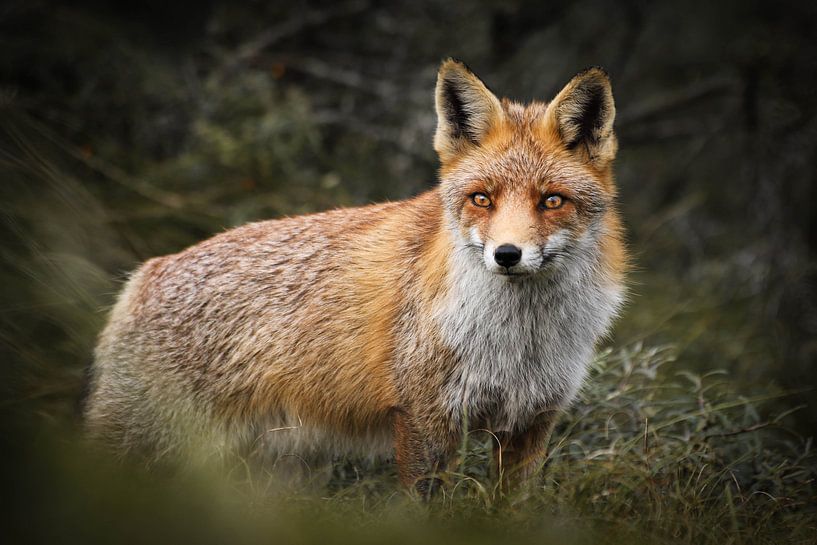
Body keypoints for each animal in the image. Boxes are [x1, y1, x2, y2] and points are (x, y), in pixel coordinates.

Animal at [84, 59, 627, 492]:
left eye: (551, 200)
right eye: (481, 199)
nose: (507, 254)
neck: (521, 342)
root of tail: (147, 272)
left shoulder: (531, 422)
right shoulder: (425, 417)